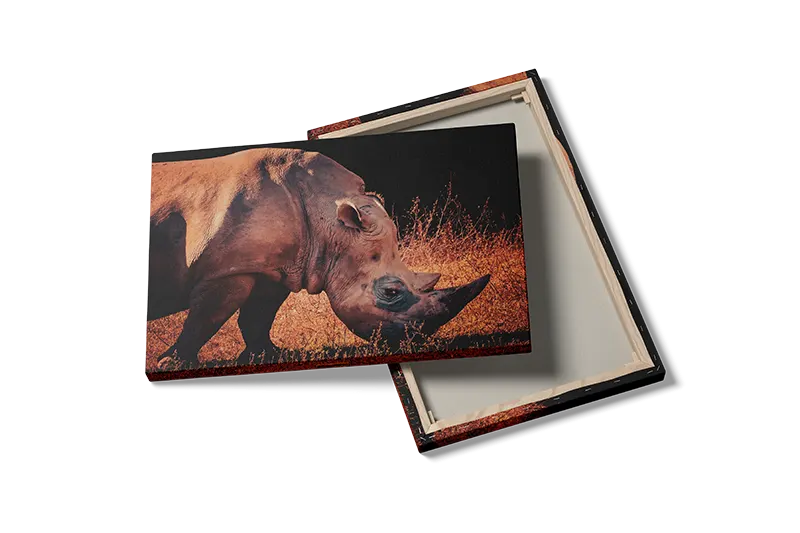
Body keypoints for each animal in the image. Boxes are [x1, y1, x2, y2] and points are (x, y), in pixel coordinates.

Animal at [147, 147, 490, 367]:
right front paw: (172, 364)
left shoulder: (277, 265)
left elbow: (259, 314)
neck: (329, 216)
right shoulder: (228, 269)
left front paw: (271, 356)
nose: (411, 343)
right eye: (391, 293)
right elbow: (207, 317)